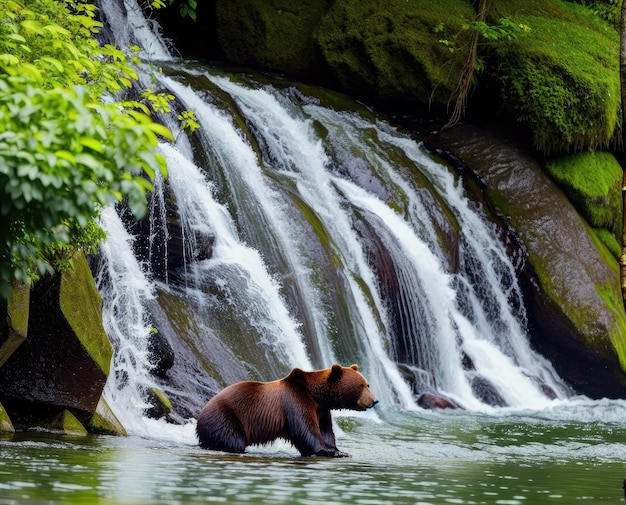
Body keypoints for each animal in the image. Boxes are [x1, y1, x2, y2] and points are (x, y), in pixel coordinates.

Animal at [195, 362, 376, 456]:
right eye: (361, 385)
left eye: (367, 384)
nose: (374, 400)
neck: (316, 395)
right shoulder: (295, 400)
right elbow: (306, 431)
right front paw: (333, 451)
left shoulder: (322, 410)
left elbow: (325, 431)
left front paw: (338, 449)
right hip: (225, 417)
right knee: (233, 439)